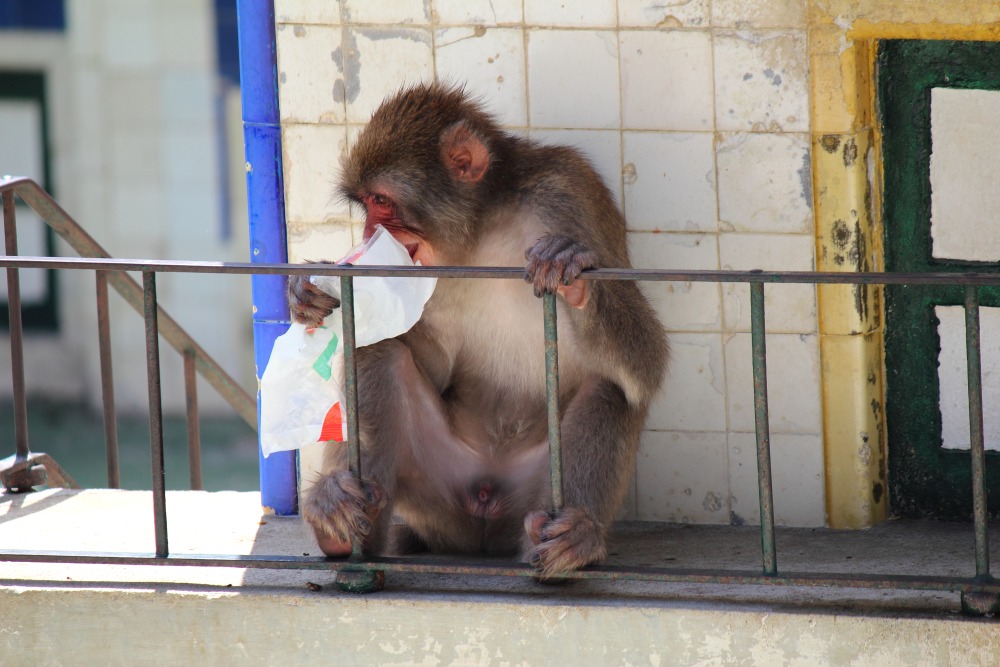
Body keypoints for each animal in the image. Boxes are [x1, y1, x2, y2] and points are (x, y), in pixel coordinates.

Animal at [286, 83, 668, 576]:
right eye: (366, 204)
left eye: (381, 202)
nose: (368, 234)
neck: (483, 229)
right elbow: (431, 364)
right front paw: (306, 290)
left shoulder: (571, 191)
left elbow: (646, 367)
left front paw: (570, 265)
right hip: (433, 493)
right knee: (380, 354)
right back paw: (343, 526)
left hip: (529, 494)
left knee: (611, 385)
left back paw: (575, 537)